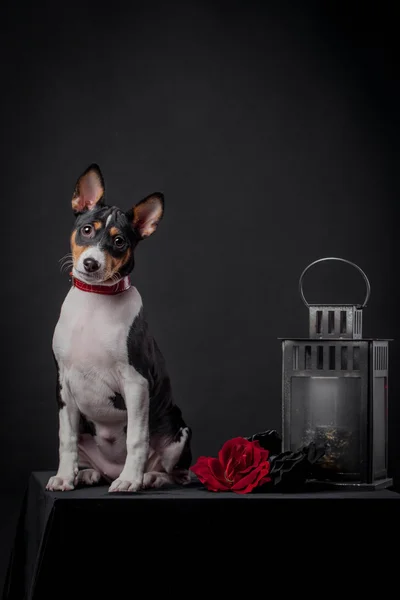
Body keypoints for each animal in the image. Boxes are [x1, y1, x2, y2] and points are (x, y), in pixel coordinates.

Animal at [45, 164, 192, 492]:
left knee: (175, 470)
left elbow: (137, 438)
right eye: (87, 230)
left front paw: (130, 481)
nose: (91, 263)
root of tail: (110, 467)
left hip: (177, 427)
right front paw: (64, 476)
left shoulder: (136, 383)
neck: (95, 300)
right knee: (91, 459)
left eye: (119, 241)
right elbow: (65, 439)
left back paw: (148, 477)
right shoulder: (64, 385)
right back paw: (87, 474)